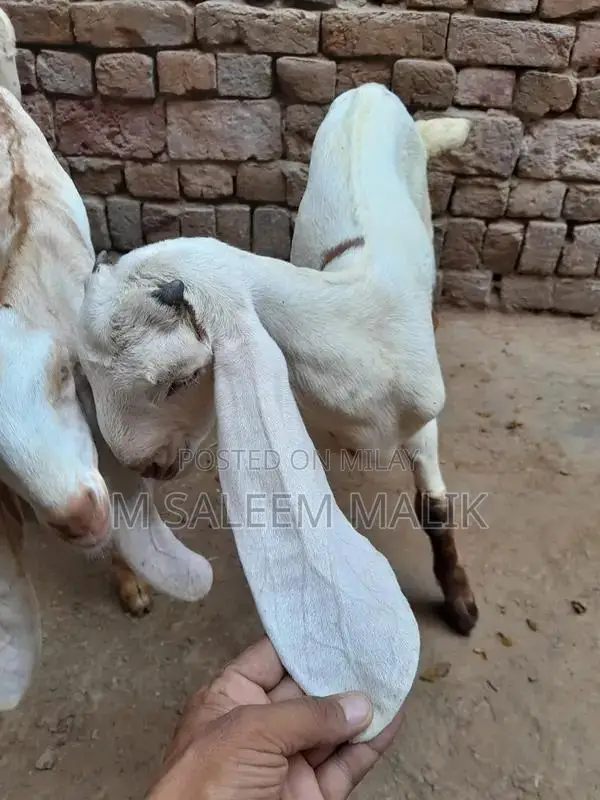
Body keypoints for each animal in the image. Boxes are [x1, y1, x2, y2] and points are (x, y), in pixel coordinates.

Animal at [77, 85, 475, 740]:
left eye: (181, 378)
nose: (146, 466)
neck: (356, 326)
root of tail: (370, 91)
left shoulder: (424, 419)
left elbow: (435, 510)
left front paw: (462, 604)